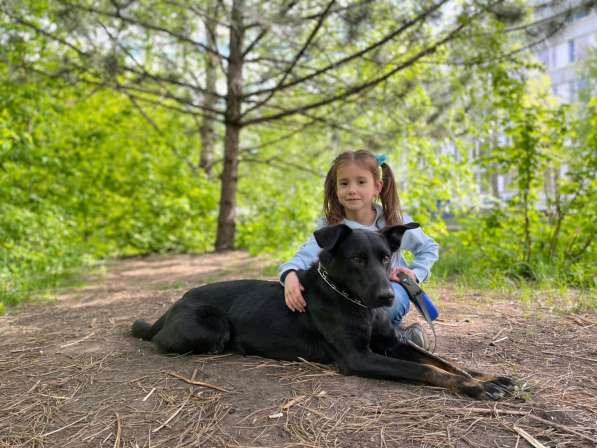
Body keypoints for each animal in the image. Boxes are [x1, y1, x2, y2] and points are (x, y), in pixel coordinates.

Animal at [133, 224, 516, 400]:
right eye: (357, 259)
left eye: (385, 258)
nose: (386, 297)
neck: (356, 302)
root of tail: (172, 306)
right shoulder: (359, 357)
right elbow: (426, 370)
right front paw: (473, 388)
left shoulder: (392, 344)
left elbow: (444, 362)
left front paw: (484, 377)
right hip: (211, 327)